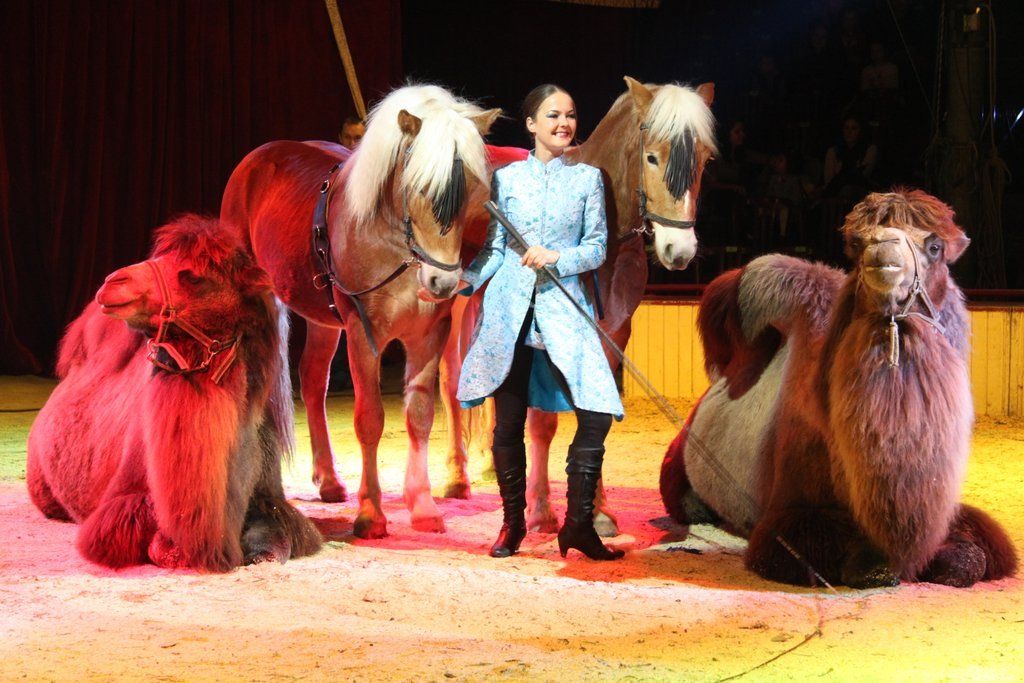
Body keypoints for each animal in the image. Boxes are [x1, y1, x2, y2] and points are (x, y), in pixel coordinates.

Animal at [26, 215, 322, 571]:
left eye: (194, 277)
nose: (112, 282)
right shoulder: (123, 503)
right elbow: (151, 537)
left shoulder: (270, 497)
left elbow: (277, 538)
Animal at [220, 84, 500, 539]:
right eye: (420, 187)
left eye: (473, 191)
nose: (441, 283)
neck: (397, 249)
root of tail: (258, 159)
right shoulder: (362, 332)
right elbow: (369, 419)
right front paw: (370, 513)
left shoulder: (429, 335)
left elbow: (420, 416)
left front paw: (423, 506)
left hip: (322, 317)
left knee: (312, 379)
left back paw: (330, 481)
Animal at [660, 189, 1018, 587]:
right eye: (857, 243)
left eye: (935, 246)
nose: (883, 249)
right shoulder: (790, 517)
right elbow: (847, 558)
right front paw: (873, 564)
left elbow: (976, 550)